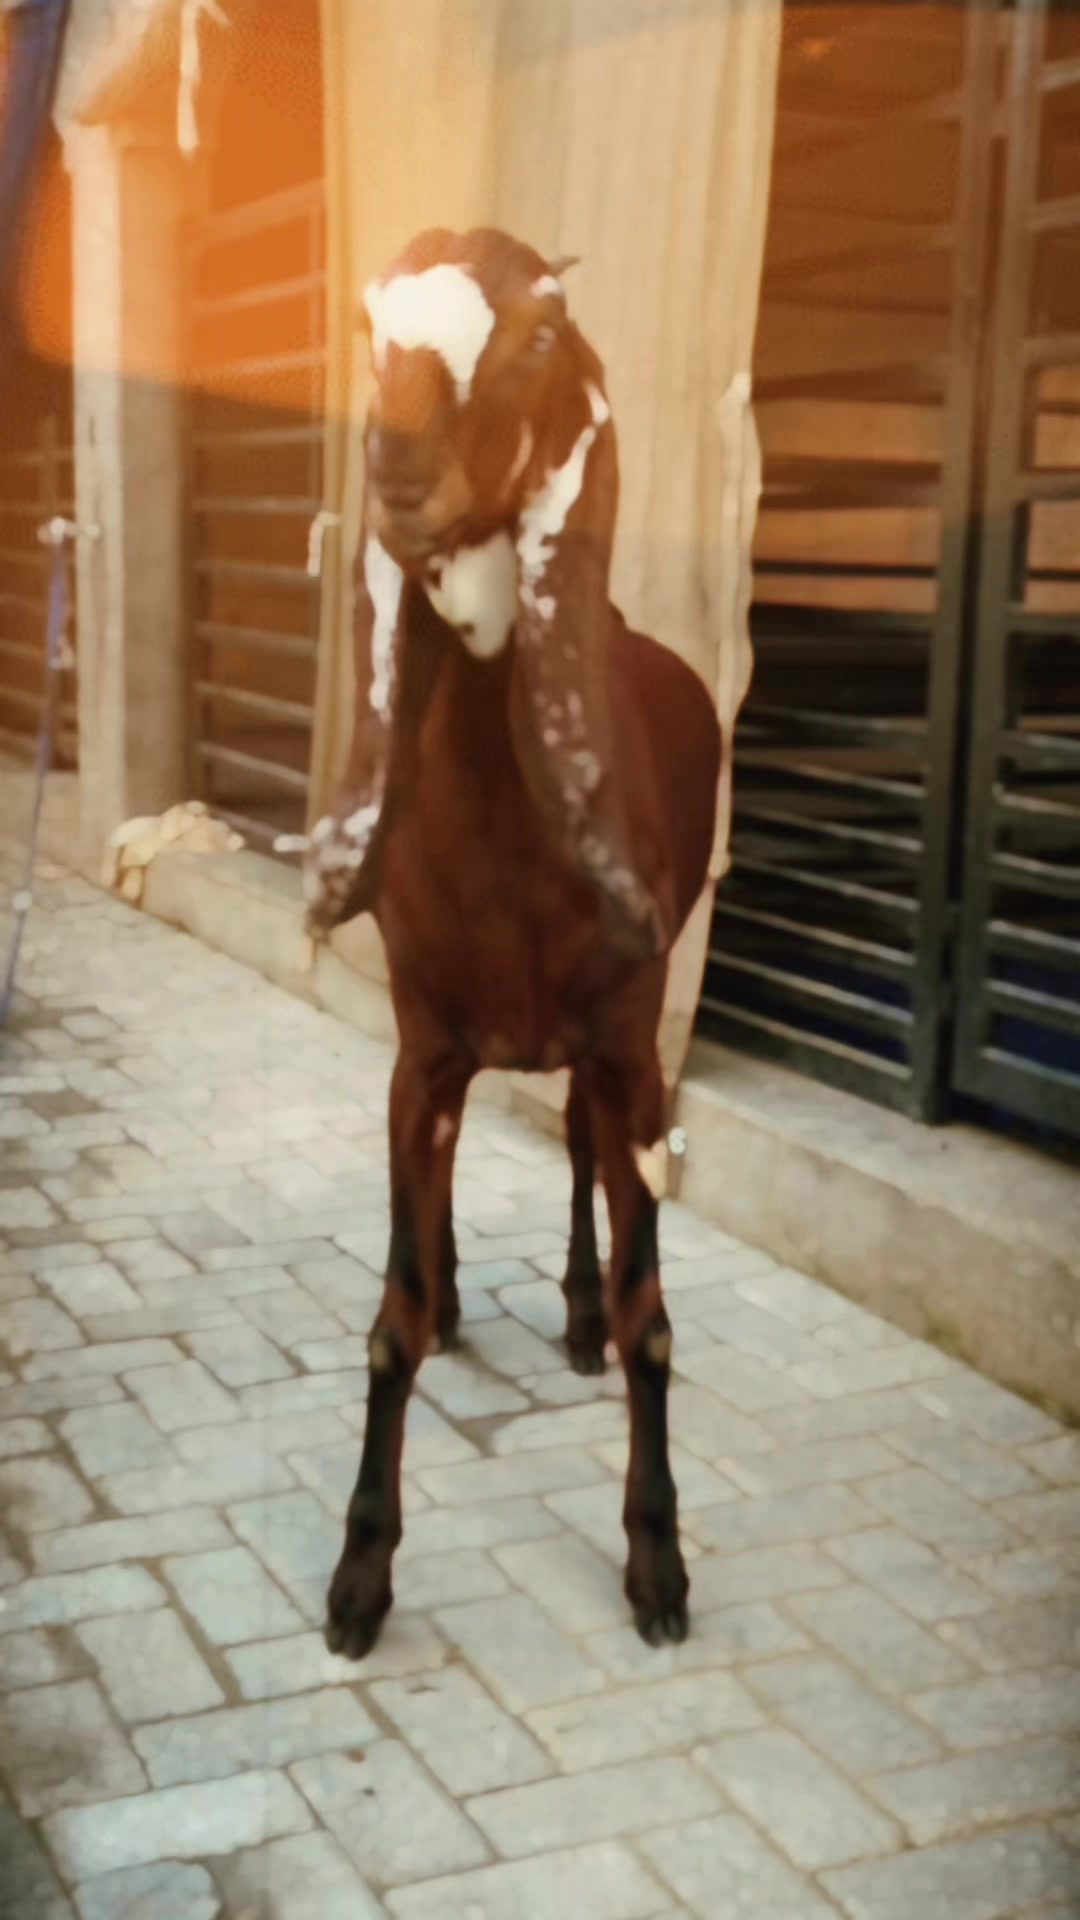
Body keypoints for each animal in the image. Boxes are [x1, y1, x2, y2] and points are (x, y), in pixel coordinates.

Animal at [303, 227, 721, 1658]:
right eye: (366, 320)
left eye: (539, 336)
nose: (397, 466)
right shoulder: (422, 1049)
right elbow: (387, 1326)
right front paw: (358, 1579)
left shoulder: (633, 1043)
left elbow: (656, 1322)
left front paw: (659, 1566)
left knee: (585, 1149)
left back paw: (577, 1315)